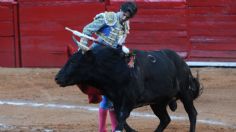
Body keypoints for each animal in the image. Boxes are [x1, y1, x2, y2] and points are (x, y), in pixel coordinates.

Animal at [54, 45, 201, 132]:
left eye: (74, 62)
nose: (57, 78)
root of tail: (183, 63)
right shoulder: (116, 101)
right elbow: (120, 119)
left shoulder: (129, 100)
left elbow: (122, 118)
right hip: (158, 102)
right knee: (165, 119)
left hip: (185, 93)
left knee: (192, 113)